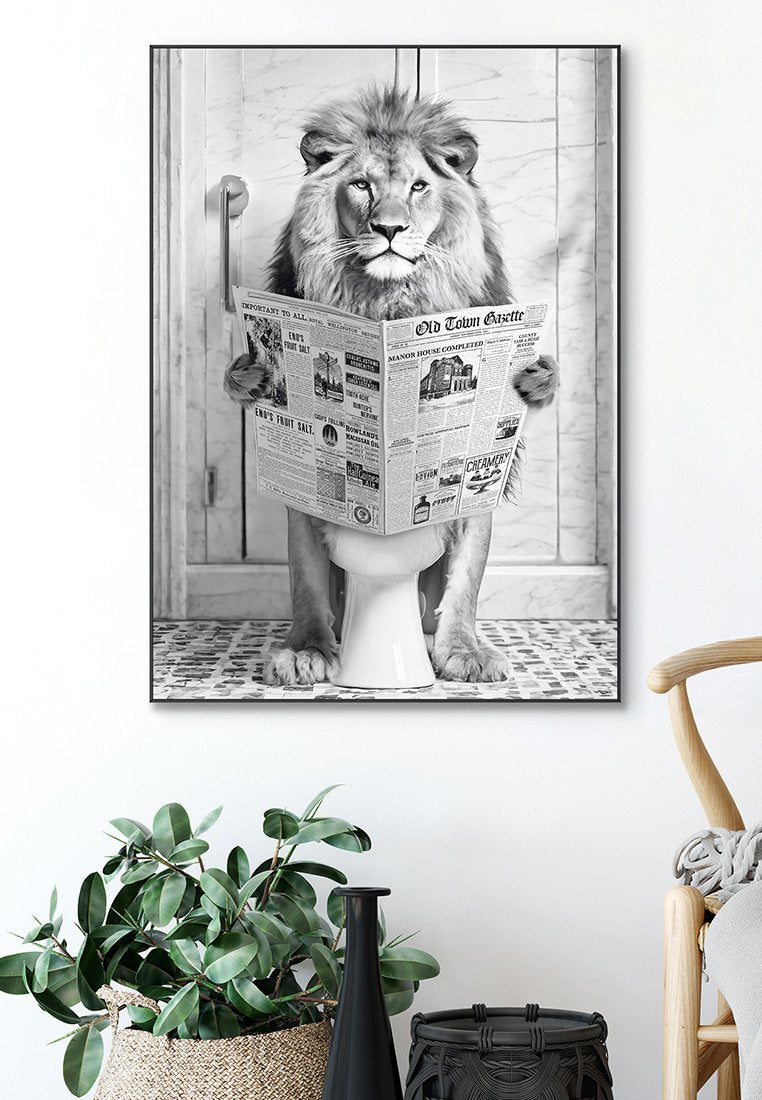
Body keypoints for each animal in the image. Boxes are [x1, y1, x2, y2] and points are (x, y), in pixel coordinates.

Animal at [224, 84, 558, 685]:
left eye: (419, 187)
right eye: (362, 185)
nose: (389, 229)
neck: (385, 304)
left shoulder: (480, 479)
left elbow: (467, 579)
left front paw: (466, 651)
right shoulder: (305, 500)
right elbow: (306, 577)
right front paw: (307, 650)